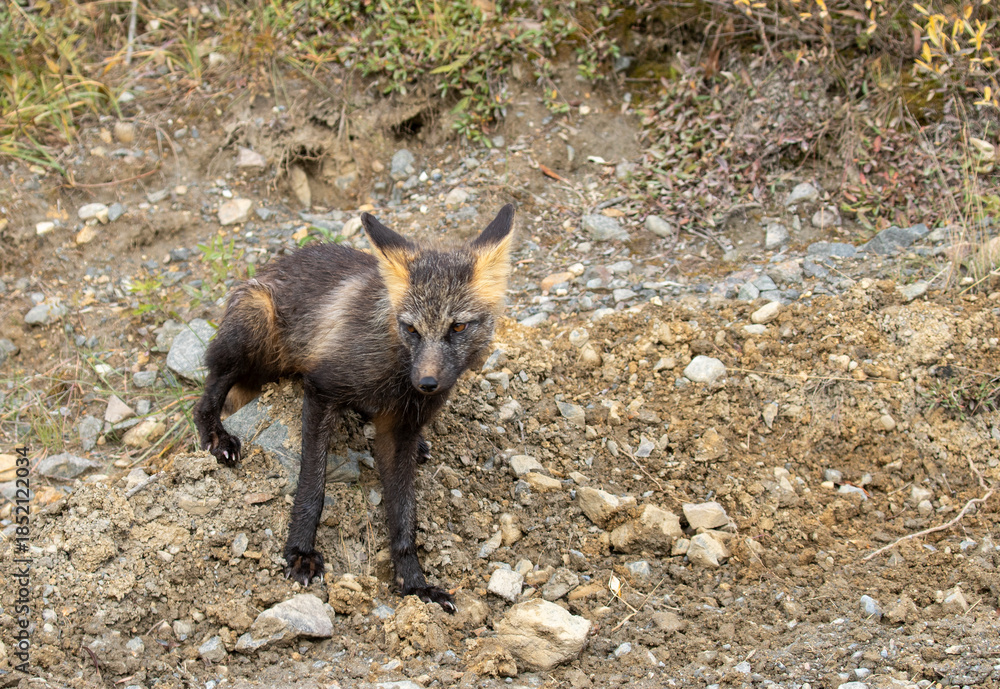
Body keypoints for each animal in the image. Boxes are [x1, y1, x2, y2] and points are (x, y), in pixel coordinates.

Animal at [193, 204, 515, 611]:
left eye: (457, 327)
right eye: (411, 329)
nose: (427, 384)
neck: (395, 376)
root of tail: (273, 265)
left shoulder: (402, 427)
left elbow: (404, 516)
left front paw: (414, 584)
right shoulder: (321, 388)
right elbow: (311, 486)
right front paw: (299, 550)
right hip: (253, 330)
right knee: (209, 389)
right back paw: (216, 434)